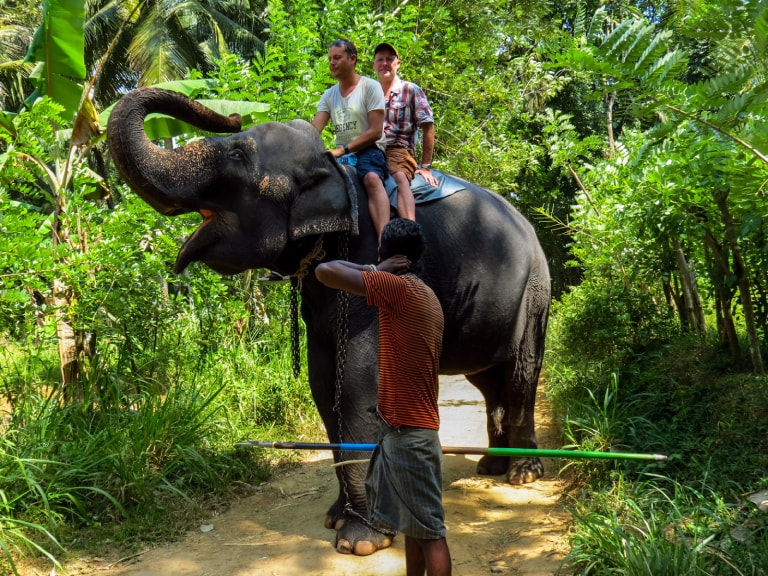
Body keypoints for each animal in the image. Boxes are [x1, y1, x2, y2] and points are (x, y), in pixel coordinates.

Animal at [107, 87, 551, 556]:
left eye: (237, 154)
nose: (231, 116)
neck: (336, 170)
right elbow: (322, 383)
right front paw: (337, 518)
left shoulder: (370, 268)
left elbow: (357, 383)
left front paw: (360, 541)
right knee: (487, 379)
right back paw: (490, 467)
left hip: (536, 290)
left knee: (522, 373)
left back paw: (523, 474)